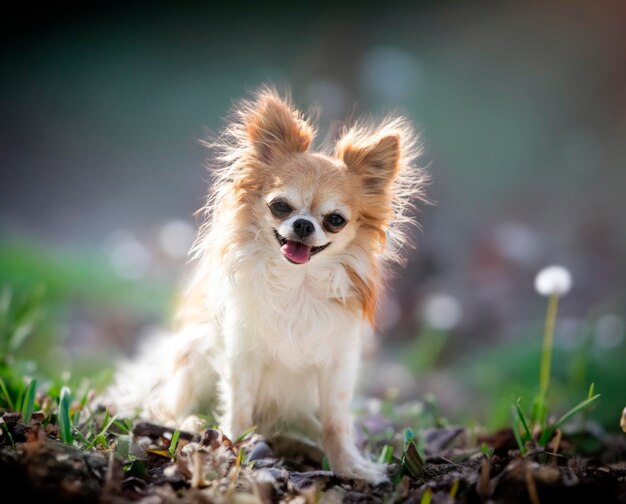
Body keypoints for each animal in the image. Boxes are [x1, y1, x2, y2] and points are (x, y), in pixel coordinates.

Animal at [109, 89, 426, 484]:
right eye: (280, 206)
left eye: (335, 220)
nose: (303, 225)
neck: (297, 283)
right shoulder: (241, 355)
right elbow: (239, 409)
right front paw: (232, 450)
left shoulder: (337, 364)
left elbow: (336, 423)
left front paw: (350, 467)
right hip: (195, 351)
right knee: (167, 408)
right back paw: (193, 422)